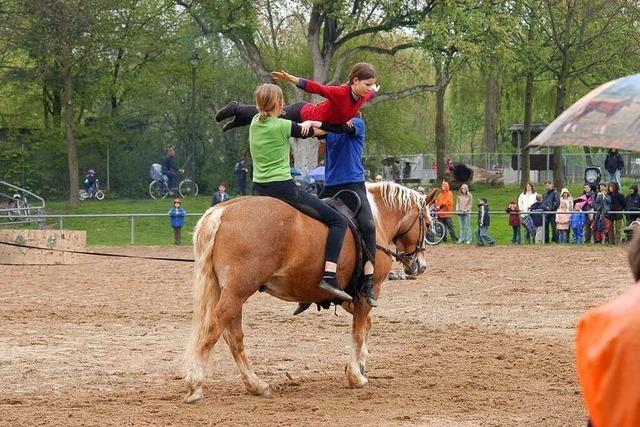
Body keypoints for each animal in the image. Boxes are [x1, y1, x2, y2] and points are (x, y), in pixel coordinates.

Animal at [182, 182, 438, 402]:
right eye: (427, 222)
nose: (420, 266)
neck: (376, 220)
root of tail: (221, 211)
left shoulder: (351, 297)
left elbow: (366, 325)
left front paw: (360, 363)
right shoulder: (368, 291)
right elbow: (358, 331)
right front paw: (355, 376)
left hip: (230, 293)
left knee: (233, 337)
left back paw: (255, 384)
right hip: (237, 292)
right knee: (213, 330)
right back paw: (196, 385)